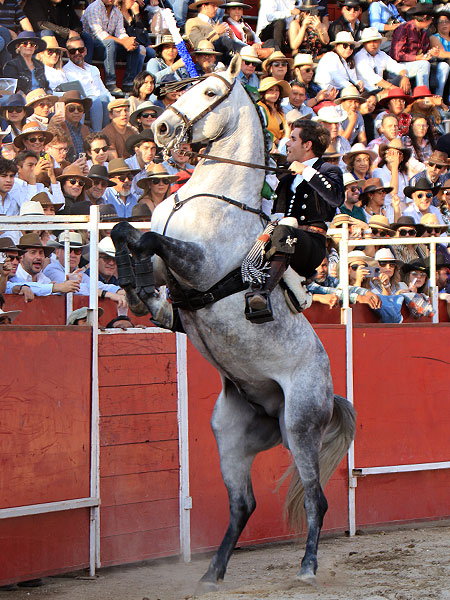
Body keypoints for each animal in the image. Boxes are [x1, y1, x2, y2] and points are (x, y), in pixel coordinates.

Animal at [111, 57, 356, 596]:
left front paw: (139, 287)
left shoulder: (198, 264)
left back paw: (307, 567)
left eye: (210, 91)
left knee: (316, 499)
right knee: (243, 504)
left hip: (300, 426)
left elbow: (149, 240)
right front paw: (135, 291)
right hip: (231, 435)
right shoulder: (170, 266)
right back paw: (212, 572)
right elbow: (127, 234)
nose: (161, 128)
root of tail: (329, 394)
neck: (208, 195)